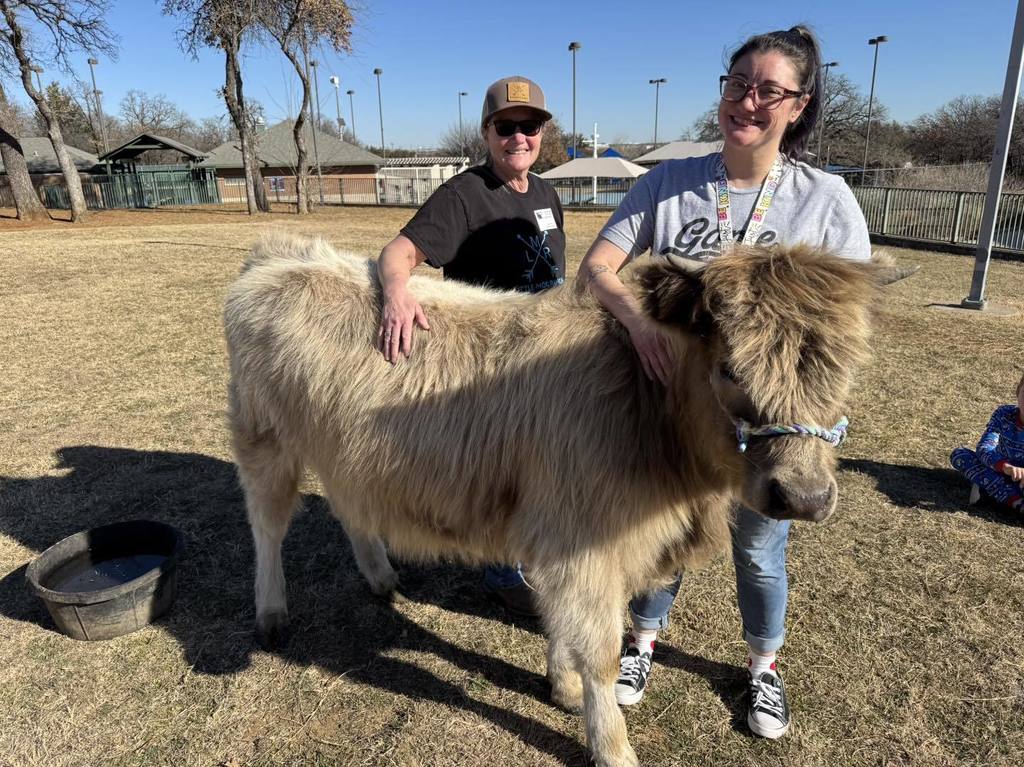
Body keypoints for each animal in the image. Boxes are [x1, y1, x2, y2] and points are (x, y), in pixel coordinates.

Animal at [224, 232, 906, 767]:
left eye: (848, 369)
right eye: (731, 370)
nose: (805, 496)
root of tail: (283, 253)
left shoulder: (567, 540)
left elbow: (562, 623)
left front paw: (561, 686)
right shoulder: (579, 543)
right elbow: (600, 650)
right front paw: (612, 744)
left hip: (346, 454)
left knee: (351, 508)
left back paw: (380, 577)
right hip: (264, 439)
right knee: (266, 526)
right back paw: (271, 613)